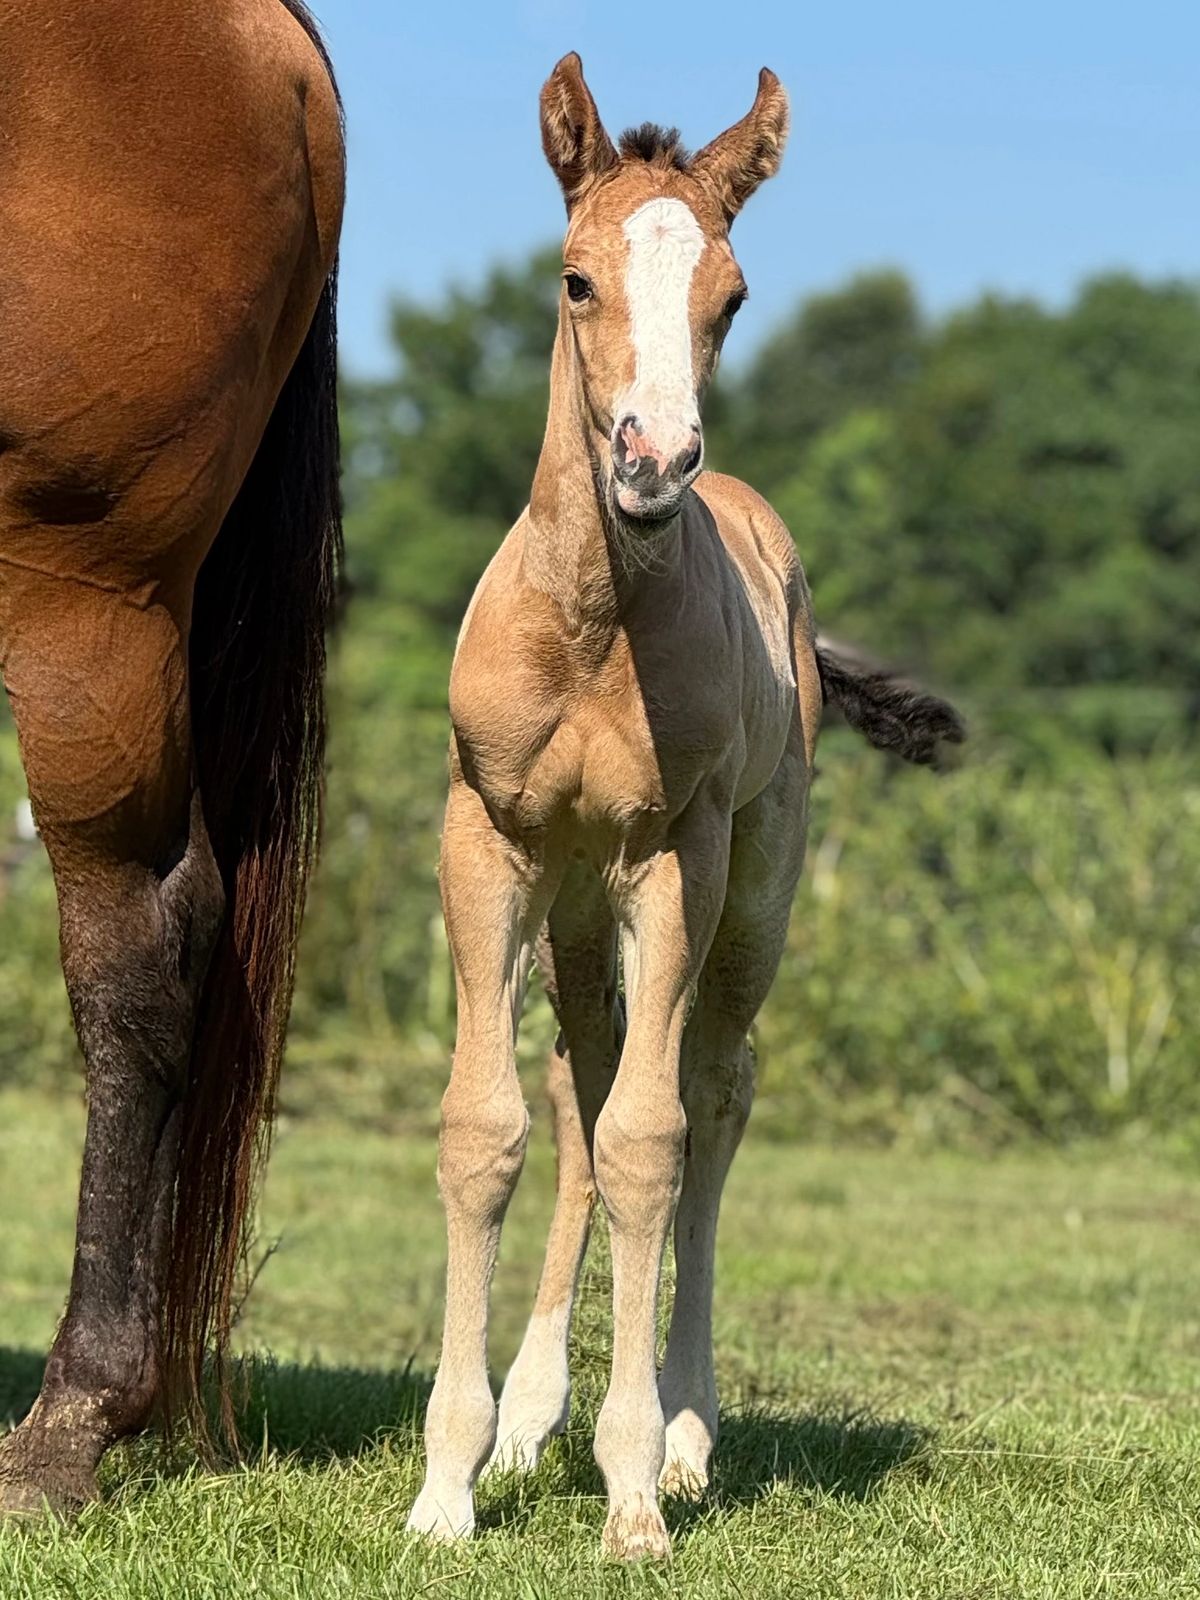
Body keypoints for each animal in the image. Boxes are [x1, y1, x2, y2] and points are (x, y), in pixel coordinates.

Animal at [407, 54, 964, 1561]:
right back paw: (534, 1417)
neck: (596, 625)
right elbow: (490, 1129)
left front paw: (637, 1488)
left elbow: (655, 1141)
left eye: (733, 294)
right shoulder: (490, 841)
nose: (653, 463)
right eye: (574, 279)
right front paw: (448, 1485)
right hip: (575, 901)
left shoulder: (677, 851)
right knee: (582, 1083)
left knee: (710, 1094)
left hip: (750, 889)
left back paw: (690, 1431)